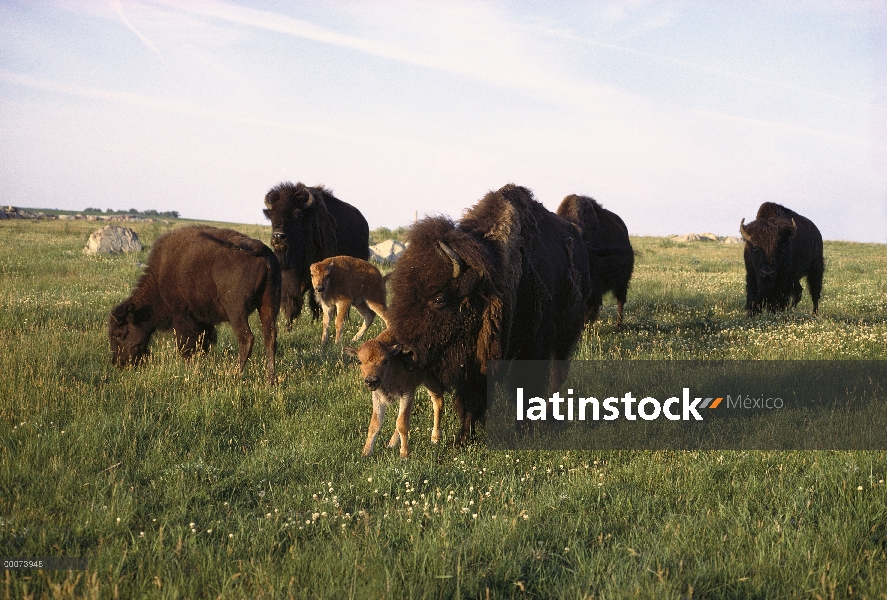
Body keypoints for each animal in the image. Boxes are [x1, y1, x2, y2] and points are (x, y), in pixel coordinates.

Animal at [109, 225, 280, 384]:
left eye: (119, 333)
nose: (117, 363)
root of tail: (261, 249)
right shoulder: (204, 320)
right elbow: (202, 343)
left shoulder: (181, 315)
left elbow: (185, 344)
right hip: (268, 305)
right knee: (270, 338)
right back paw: (270, 381)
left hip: (236, 311)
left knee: (247, 338)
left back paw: (234, 376)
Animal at [262, 182, 370, 328]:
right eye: (272, 215)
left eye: (298, 214)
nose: (278, 237)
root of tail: (363, 222)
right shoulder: (290, 277)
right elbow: (291, 299)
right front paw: (288, 326)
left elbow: (315, 300)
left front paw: (317, 322)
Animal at [346, 326, 448, 458]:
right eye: (359, 361)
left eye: (385, 361)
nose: (371, 381)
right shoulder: (378, 398)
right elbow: (375, 424)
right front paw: (366, 453)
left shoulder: (407, 393)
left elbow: (402, 424)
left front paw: (404, 454)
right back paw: (392, 443)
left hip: (430, 381)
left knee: (438, 402)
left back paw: (435, 438)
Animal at [386, 183, 588, 440]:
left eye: (439, 299)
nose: (406, 352)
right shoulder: (476, 354)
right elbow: (472, 395)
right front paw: (463, 437)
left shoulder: (532, 346)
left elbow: (526, 385)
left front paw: (523, 430)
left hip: (564, 335)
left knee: (557, 375)